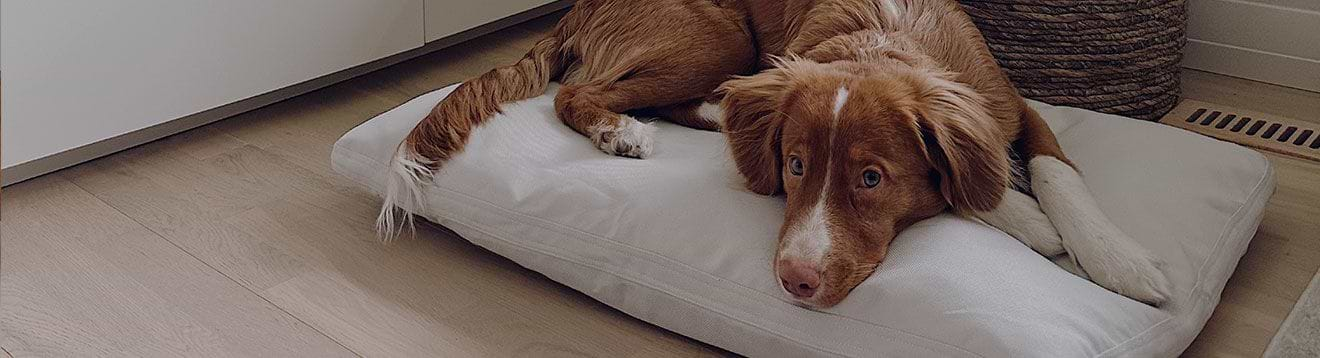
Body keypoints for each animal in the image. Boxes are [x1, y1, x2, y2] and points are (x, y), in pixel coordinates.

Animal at [385, 0, 1177, 309]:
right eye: (796, 167)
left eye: (870, 178)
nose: (796, 278)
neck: (885, 40)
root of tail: (579, 5)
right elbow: (967, 188)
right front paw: (1027, 220)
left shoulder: (1011, 105)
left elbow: (1055, 170)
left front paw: (1119, 259)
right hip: (713, 36)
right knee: (576, 92)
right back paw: (624, 130)